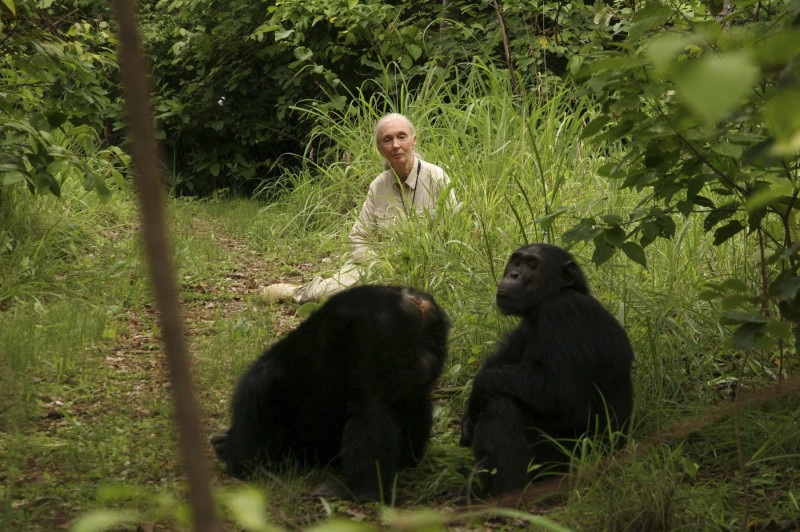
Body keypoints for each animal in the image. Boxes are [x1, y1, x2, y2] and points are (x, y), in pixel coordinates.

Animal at [211, 284, 450, 500]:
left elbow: (245, 447)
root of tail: (413, 301)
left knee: (368, 412)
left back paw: (360, 490)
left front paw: (231, 452)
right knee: (414, 403)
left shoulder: (257, 390)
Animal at [460, 243, 636, 496]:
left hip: (567, 464)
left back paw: (509, 494)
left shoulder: (565, 313)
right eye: (517, 262)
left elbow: (558, 391)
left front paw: (478, 389)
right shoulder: (526, 326)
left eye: (533, 266)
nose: (514, 275)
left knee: (501, 403)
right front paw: (468, 418)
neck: (551, 299)